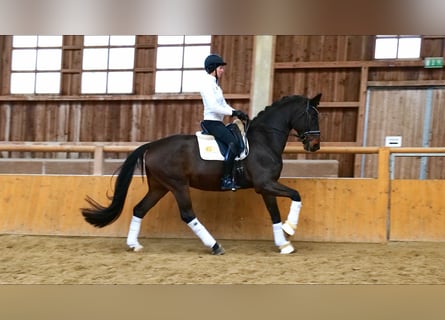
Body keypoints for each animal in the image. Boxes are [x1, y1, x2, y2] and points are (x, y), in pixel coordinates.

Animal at [81, 93, 320, 255]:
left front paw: (284, 244)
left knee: (140, 209)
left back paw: (134, 244)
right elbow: (297, 195)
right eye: (312, 116)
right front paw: (290, 228)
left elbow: (275, 214)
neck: (264, 139)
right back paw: (214, 245)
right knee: (187, 214)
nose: (315, 145)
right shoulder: (265, 184)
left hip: (160, 187)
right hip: (177, 185)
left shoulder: (267, 186)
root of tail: (152, 145)